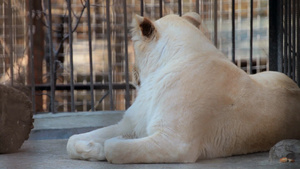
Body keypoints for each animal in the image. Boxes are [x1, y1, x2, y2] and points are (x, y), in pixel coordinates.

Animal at [67, 12, 300, 163]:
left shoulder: (176, 143)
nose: (132, 72)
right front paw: (90, 147)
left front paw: (104, 146)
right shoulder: (131, 123)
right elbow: (72, 139)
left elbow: (115, 148)